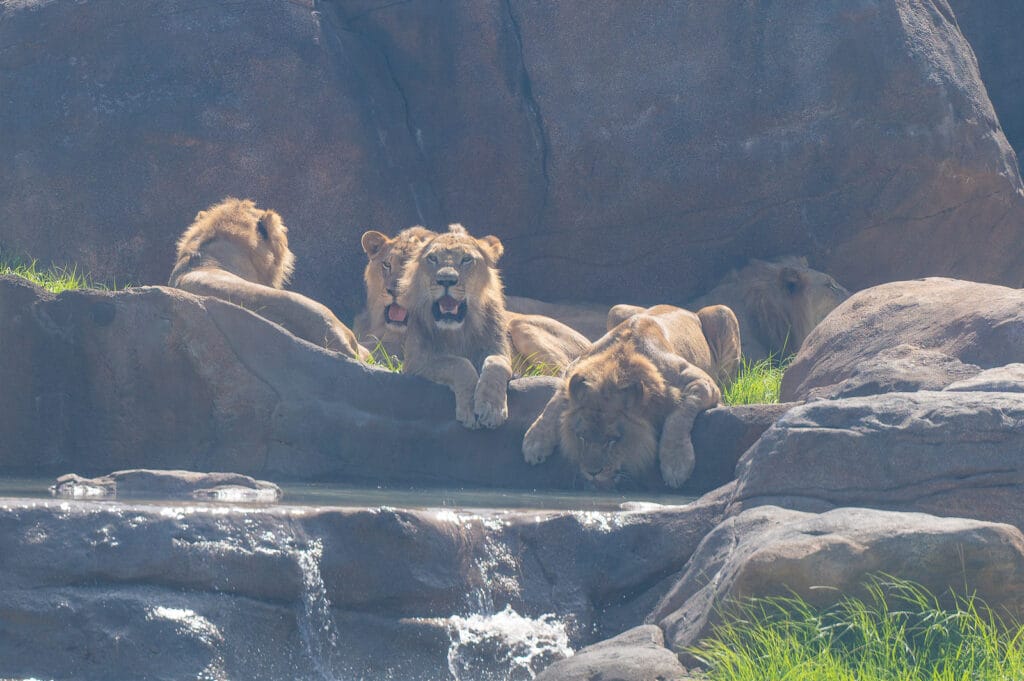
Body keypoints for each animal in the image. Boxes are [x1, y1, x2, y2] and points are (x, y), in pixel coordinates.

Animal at [396, 224, 514, 428]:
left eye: (466, 259)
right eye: (432, 258)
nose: (446, 280)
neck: (458, 331)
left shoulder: (501, 351)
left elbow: (496, 363)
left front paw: (491, 408)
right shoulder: (415, 364)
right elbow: (458, 363)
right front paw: (470, 408)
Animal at [522, 305, 729, 489]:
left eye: (614, 440)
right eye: (581, 437)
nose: (592, 472)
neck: (621, 357)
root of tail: (688, 310)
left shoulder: (703, 381)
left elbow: (680, 413)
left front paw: (676, 462)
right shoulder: (573, 367)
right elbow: (555, 401)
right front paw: (535, 441)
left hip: (723, 313)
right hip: (616, 310)